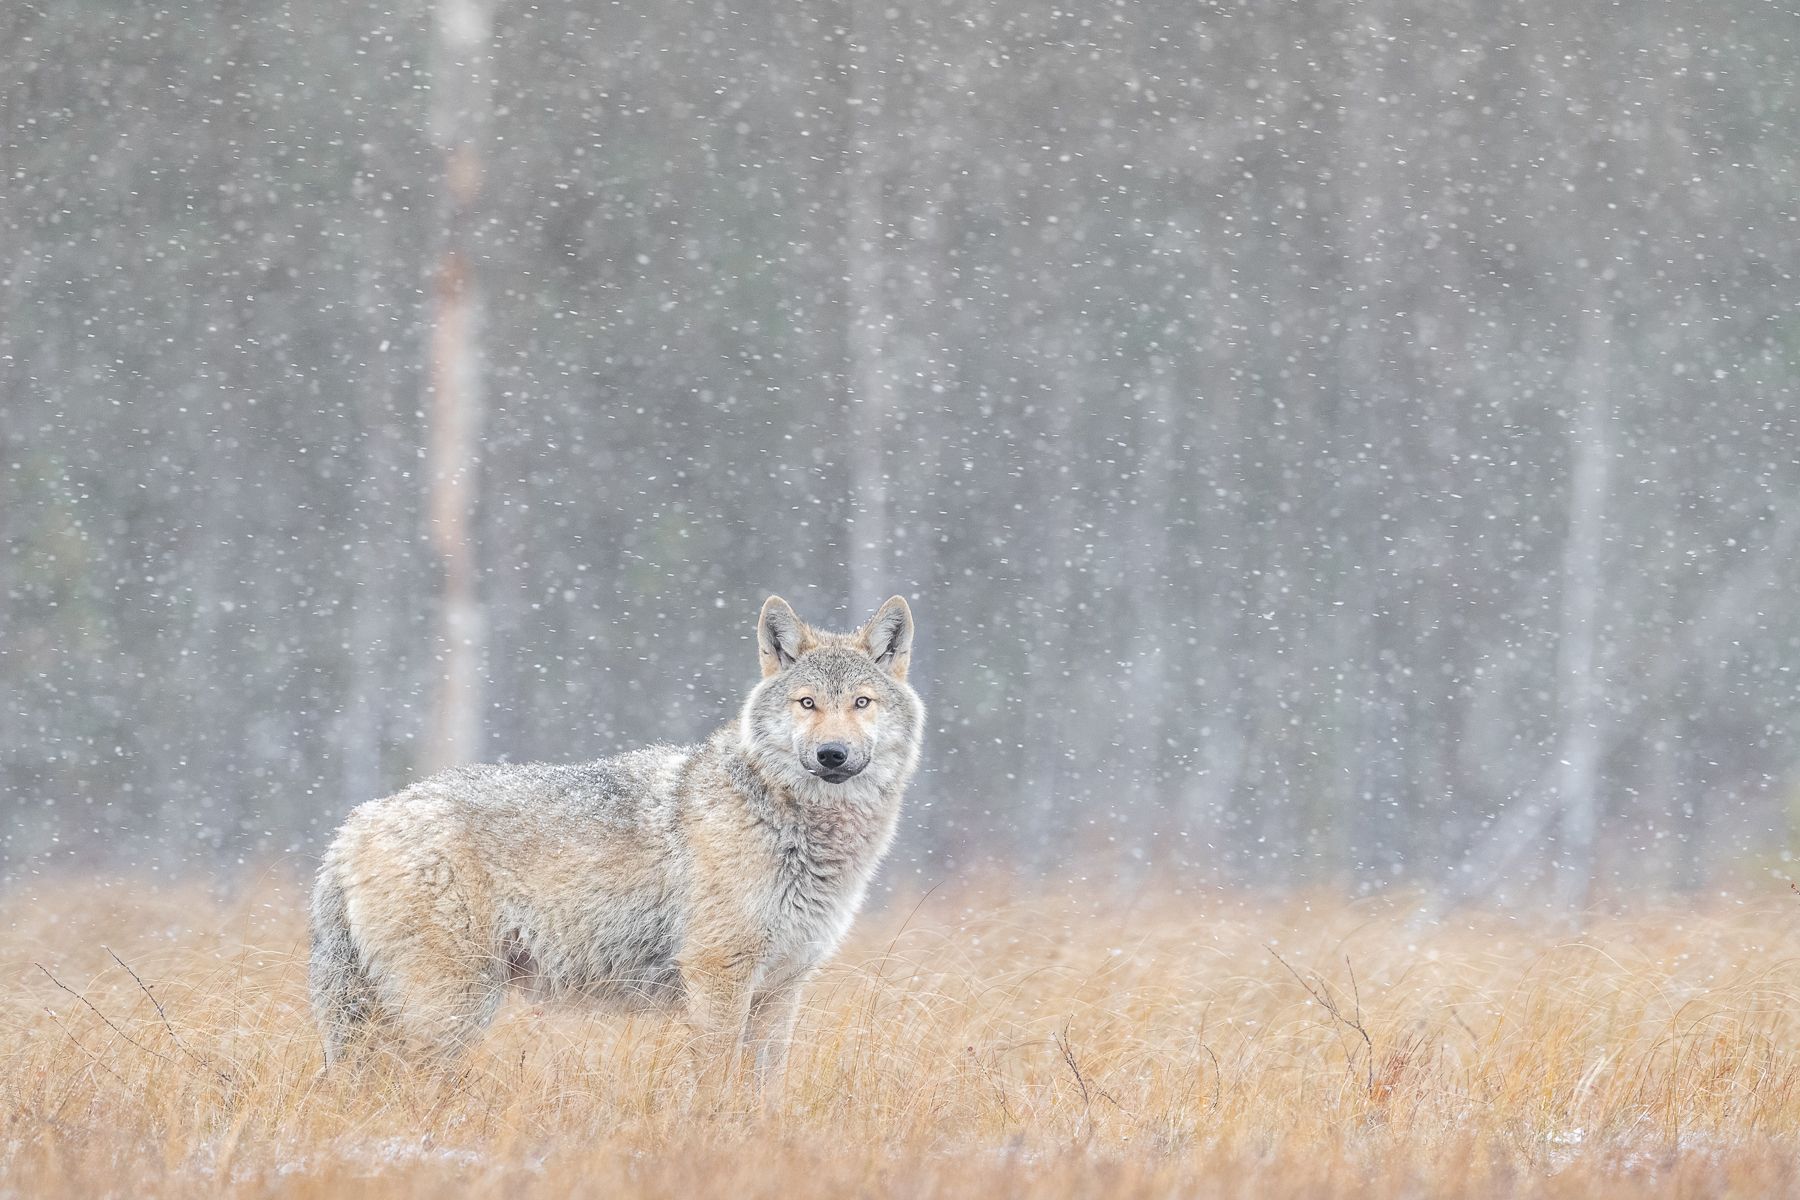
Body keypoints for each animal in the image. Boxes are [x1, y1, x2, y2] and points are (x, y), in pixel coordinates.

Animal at [308, 595, 921, 1089]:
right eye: (807, 703)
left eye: (861, 703)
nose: (832, 755)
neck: (797, 828)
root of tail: (352, 825)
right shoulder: (718, 978)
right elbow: (718, 1082)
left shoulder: (782, 988)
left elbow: (766, 1088)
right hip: (453, 1009)